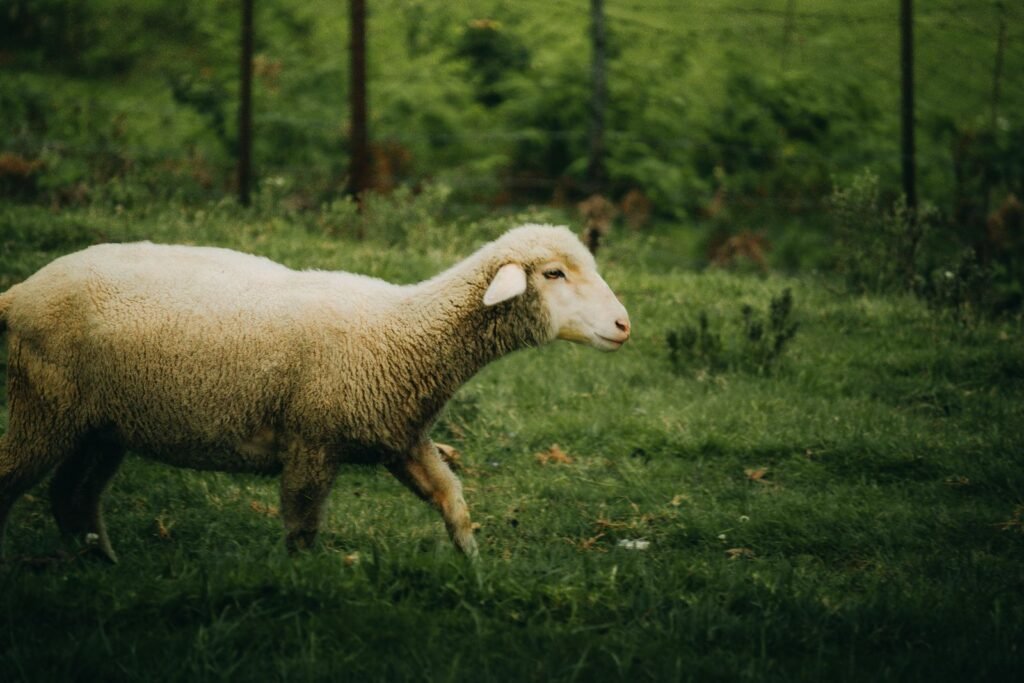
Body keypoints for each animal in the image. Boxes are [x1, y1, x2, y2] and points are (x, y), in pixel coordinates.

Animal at [0, 225, 630, 561]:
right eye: (553, 274)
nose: (625, 325)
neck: (404, 332)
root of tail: (19, 291)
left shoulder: (400, 437)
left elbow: (454, 503)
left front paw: (476, 572)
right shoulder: (312, 440)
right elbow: (302, 528)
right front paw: (303, 582)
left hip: (100, 424)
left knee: (73, 496)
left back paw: (103, 564)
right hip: (43, 404)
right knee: (18, 480)